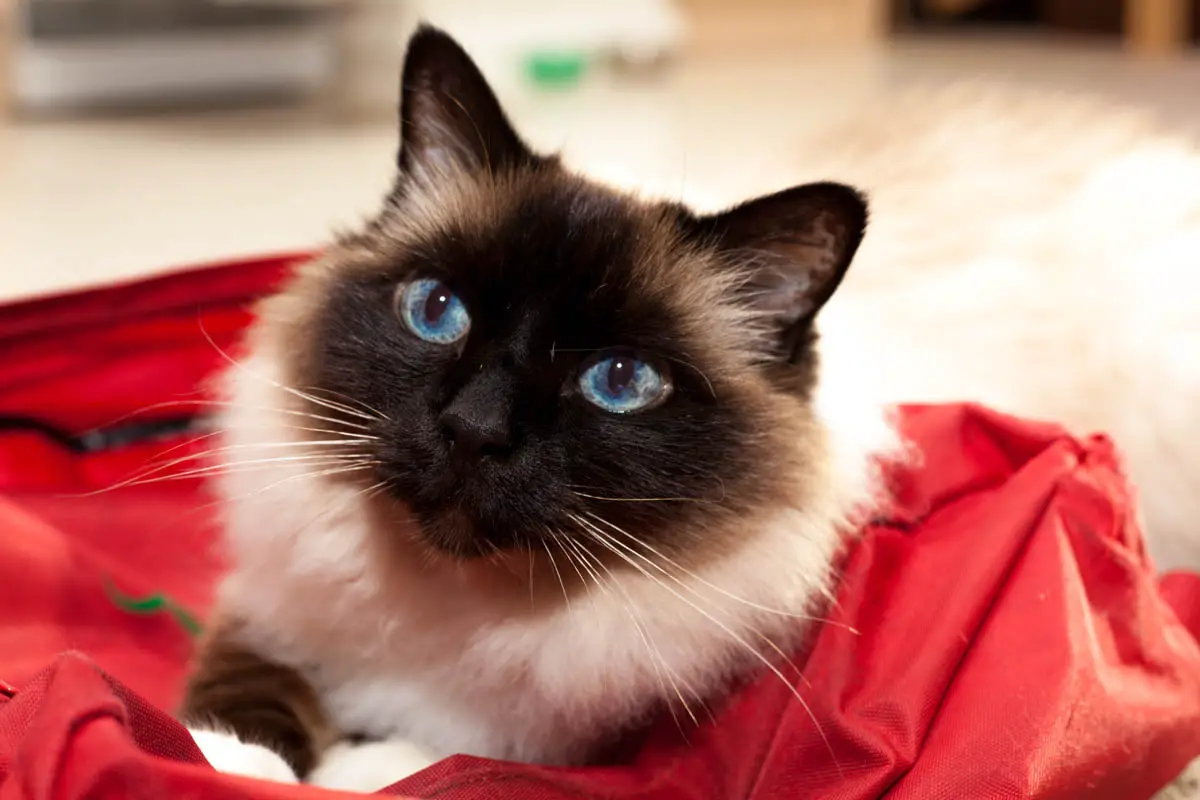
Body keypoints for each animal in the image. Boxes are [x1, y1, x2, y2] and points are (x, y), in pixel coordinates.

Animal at [182, 23, 1200, 786]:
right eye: (437, 312)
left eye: (621, 382)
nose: (475, 429)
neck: (453, 606)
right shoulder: (274, 608)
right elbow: (236, 700)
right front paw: (216, 760)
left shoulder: (578, 740)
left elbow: (431, 760)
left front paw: (350, 762)